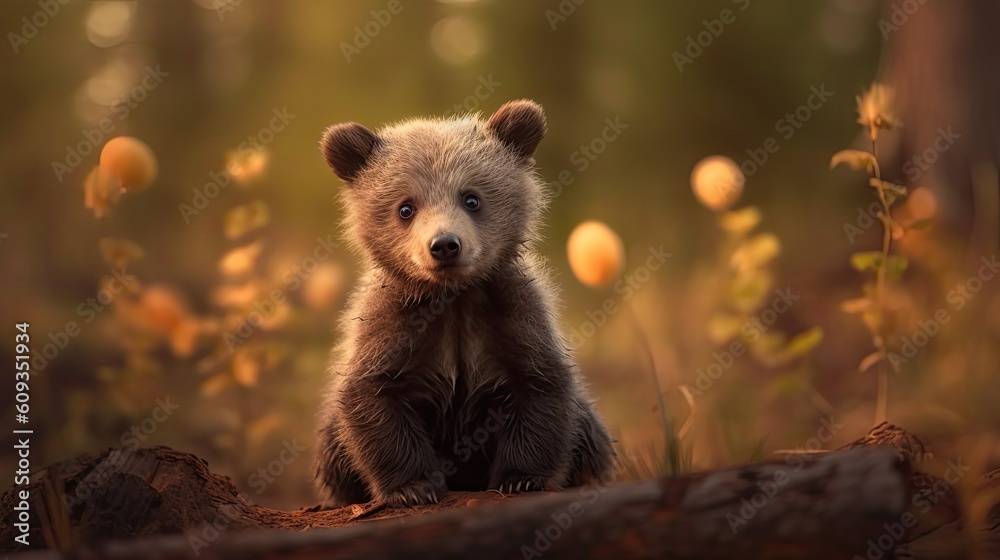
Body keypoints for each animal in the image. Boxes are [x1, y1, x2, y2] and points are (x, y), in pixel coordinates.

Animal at [313, 99, 616, 507]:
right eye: (406, 207)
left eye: (471, 198)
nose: (444, 245)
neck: (453, 298)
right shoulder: (393, 324)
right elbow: (371, 397)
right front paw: (413, 486)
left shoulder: (514, 315)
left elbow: (541, 385)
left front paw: (520, 478)